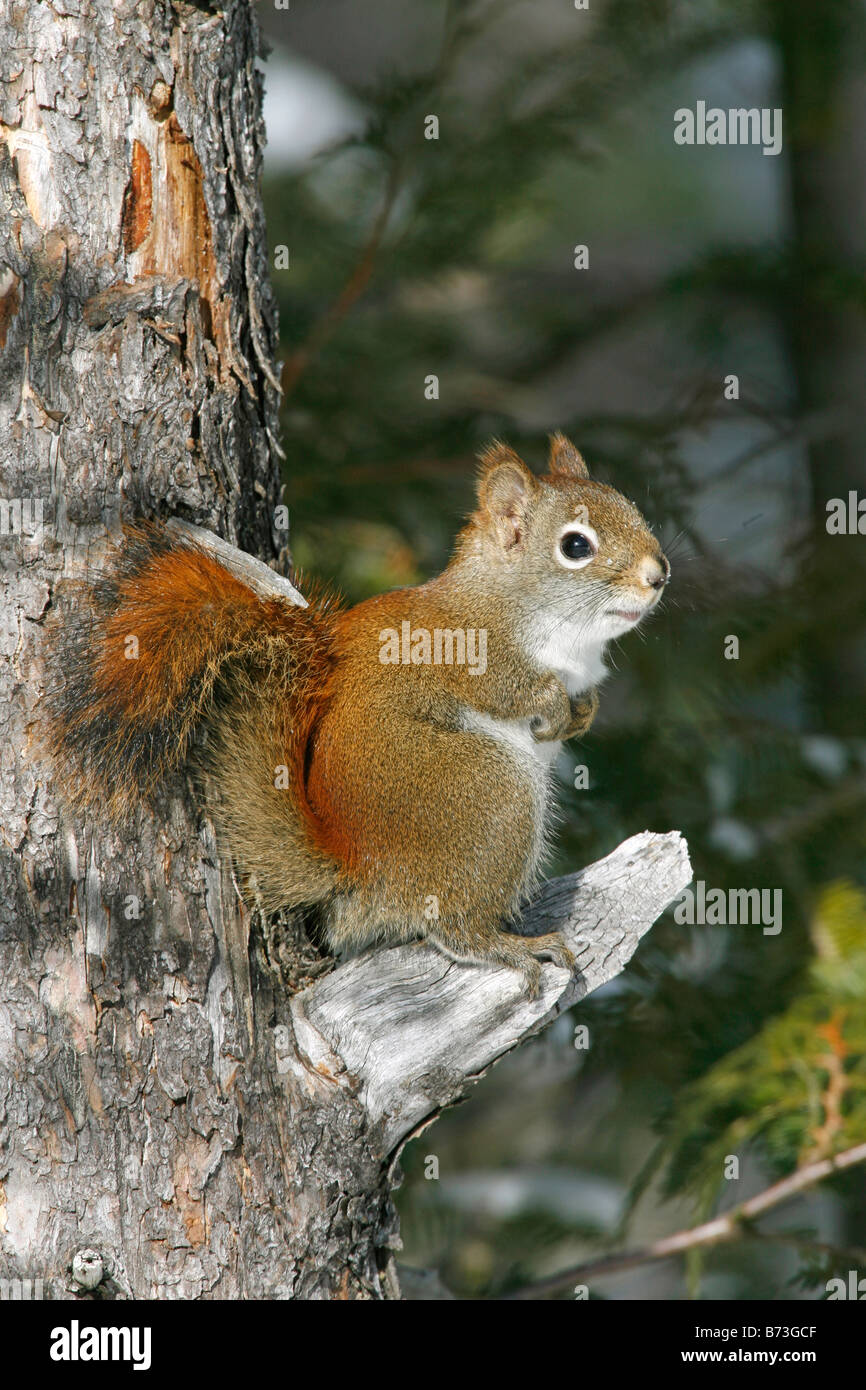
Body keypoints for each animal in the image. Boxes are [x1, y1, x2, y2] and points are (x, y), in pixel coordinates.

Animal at [44, 430, 670, 989]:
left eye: (633, 507)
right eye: (575, 546)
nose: (659, 574)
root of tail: (358, 868)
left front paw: (582, 712)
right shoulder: (470, 653)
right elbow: (513, 691)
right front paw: (553, 706)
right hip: (486, 794)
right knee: (452, 927)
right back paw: (506, 945)